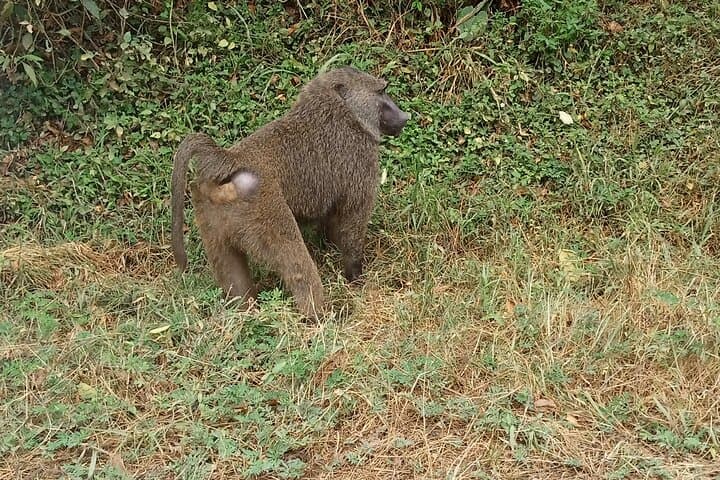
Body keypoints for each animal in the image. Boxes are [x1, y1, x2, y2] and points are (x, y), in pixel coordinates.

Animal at [171, 66, 410, 318]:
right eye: (382, 91)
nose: (404, 116)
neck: (343, 112)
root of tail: (232, 159)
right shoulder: (361, 155)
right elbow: (352, 219)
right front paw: (355, 277)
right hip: (264, 208)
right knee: (294, 261)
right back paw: (320, 315)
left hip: (210, 209)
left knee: (229, 268)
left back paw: (244, 311)